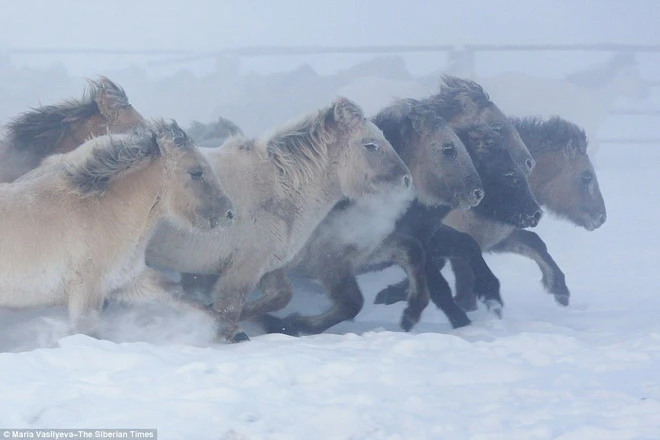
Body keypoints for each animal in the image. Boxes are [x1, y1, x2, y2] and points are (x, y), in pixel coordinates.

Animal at [0, 120, 235, 336]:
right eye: (196, 172)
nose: (230, 213)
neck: (105, 211)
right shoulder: (87, 290)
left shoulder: (127, 280)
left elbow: (175, 292)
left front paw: (228, 330)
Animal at [146, 98, 412, 342]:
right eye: (371, 145)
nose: (407, 179)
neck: (279, 188)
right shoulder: (244, 268)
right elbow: (228, 309)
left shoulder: (268, 266)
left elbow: (281, 296)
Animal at [256, 97, 484, 336]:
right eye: (448, 149)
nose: (478, 193)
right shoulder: (329, 261)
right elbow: (352, 303)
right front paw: (294, 323)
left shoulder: (367, 253)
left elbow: (421, 257)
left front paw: (407, 309)